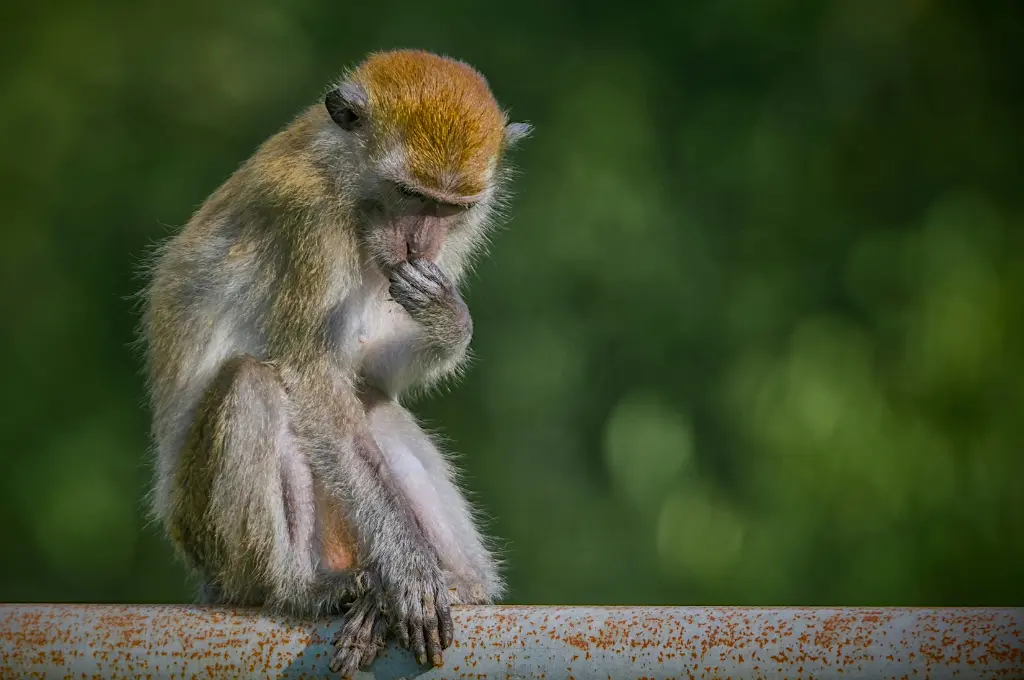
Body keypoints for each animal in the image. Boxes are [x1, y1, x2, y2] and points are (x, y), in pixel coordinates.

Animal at [139, 49, 531, 678]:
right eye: (408, 194)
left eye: (450, 208)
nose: (419, 245)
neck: (345, 183)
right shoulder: (307, 219)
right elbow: (312, 378)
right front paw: (408, 567)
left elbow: (371, 372)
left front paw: (448, 319)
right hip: (206, 536)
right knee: (253, 383)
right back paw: (300, 588)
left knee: (372, 404)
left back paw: (462, 582)